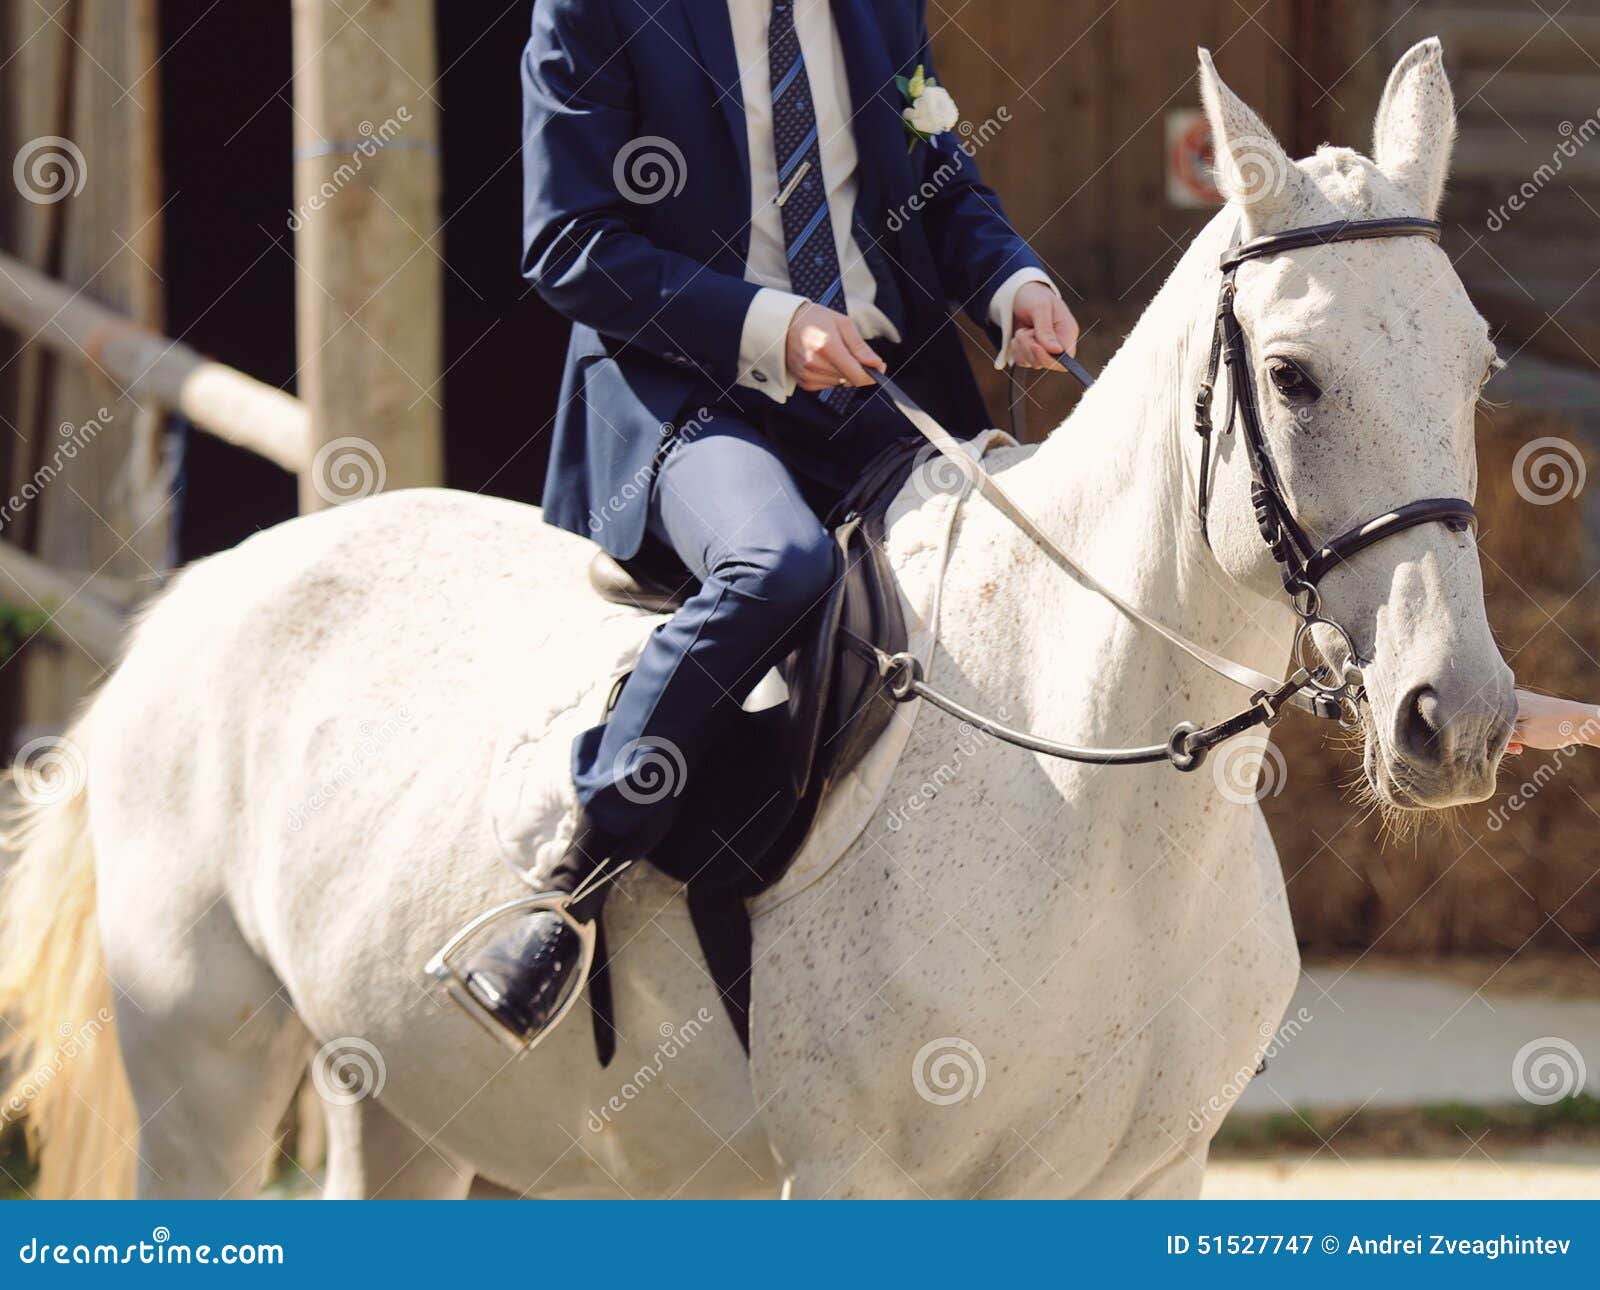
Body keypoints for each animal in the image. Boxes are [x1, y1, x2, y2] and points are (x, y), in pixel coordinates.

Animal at [0, 40, 1513, 1200]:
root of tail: (206, 594)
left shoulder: (1149, 1178)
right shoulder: (858, 1177)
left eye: (1479, 364)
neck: (1097, 801)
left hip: (397, 1093)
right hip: (202, 1068)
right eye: (1293, 375)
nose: (1459, 718)